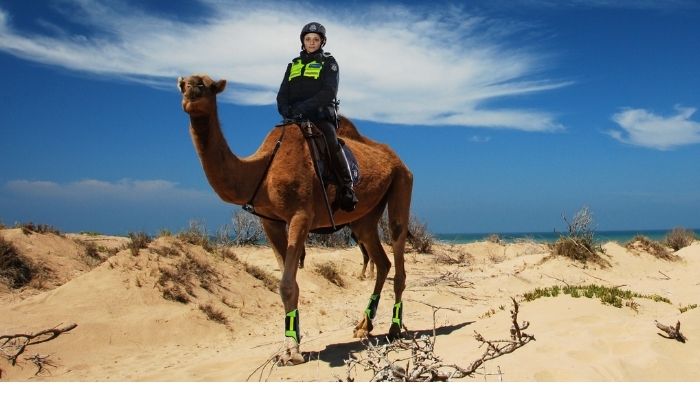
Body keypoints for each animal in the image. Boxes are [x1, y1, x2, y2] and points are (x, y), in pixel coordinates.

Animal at [178, 75, 413, 365]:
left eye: (208, 85)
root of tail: (398, 160)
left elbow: (287, 285)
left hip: (402, 182)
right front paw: (292, 342)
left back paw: (394, 328)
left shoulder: (301, 216)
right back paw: (363, 326)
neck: (263, 169)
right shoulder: (270, 221)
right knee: (381, 260)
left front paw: (292, 351)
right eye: (182, 84)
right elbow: (290, 283)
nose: (192, 91)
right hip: (365, 217)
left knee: (398, 246)